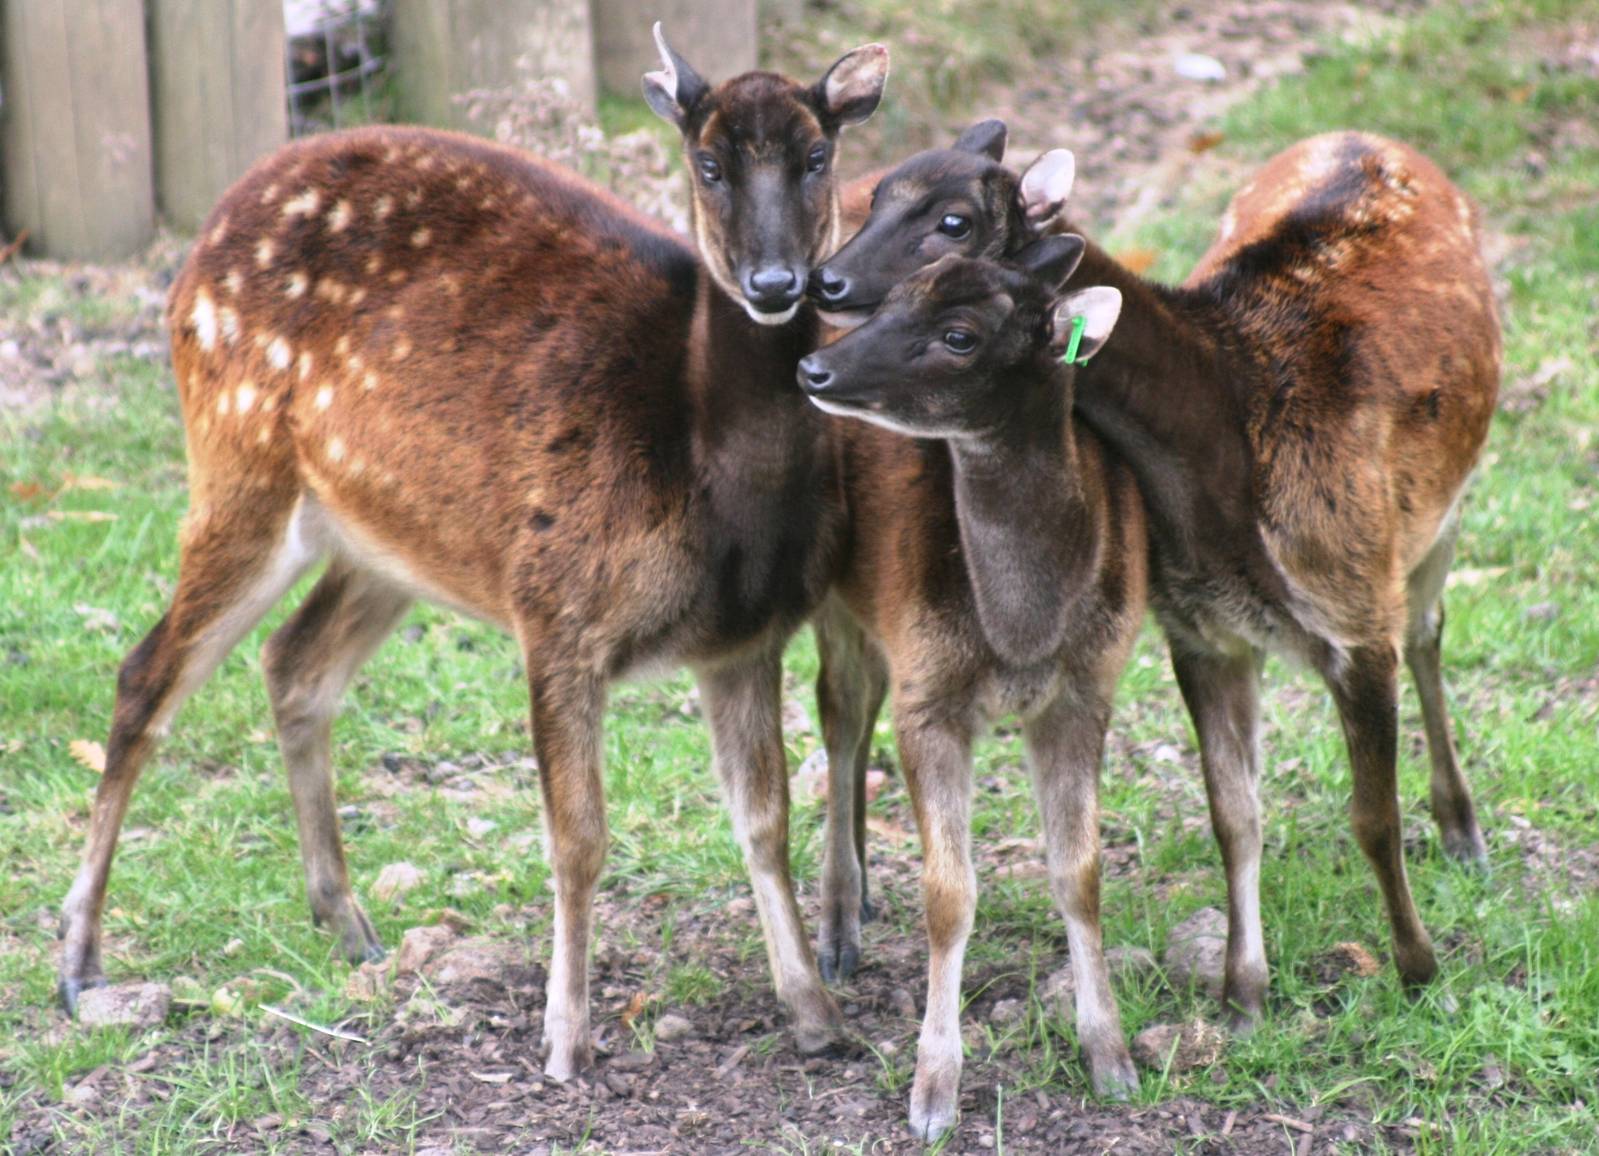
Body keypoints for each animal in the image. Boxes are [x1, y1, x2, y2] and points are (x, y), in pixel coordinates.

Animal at [55, 25, 891, 1083]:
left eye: (817, 154)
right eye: (707, 162)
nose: (776, 284)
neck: (705, 474)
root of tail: (202, 240)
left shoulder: (744, 636)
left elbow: (764, 823)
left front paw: (819, 1015)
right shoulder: (556, 606)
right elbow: (578, 837)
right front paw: (566, 1040)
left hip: (391, 539)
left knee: (294, 662)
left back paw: (348, 924)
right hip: (237, 461)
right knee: (145, 674)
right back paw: (79, 963)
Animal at [796, 235, 1144, 1140]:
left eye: (960, 336)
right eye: (894, 301)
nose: (814, 367)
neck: (1021, 632)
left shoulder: (1087, 690)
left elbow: (1079, 873)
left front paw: (1113, 1062)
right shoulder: (930, 695)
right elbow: (948, 894)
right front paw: (931, 1098)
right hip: (837, 597)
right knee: (840, 719)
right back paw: (838, 927)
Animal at [810, 121, 1498, 1038]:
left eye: (953, 221)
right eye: (881, 189)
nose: (823, 278)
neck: (1224, 456)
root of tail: (1362, 133)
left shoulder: (1355, 607)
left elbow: (1372, 817)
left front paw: (1419, 972)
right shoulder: (1195, 625)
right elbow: (1233, 815)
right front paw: (1241, 994)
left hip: (1441, 511)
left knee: (1429, 632)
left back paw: (1462, 831)